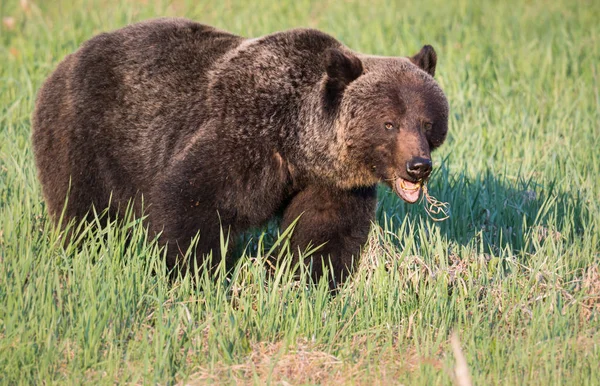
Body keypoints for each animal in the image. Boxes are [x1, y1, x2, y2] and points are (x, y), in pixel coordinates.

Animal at [30, 18, 448, 286]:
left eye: (428, 123)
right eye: (389, 123)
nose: (418, 166)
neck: (298, 144)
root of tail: (66, 60)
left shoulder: (329, 182)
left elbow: (322, 230)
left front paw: (304, 279)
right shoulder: (244, 141)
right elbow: (192, 206)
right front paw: (193, 275)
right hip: (86, 134)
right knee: (83, 208)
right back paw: (84, 251)